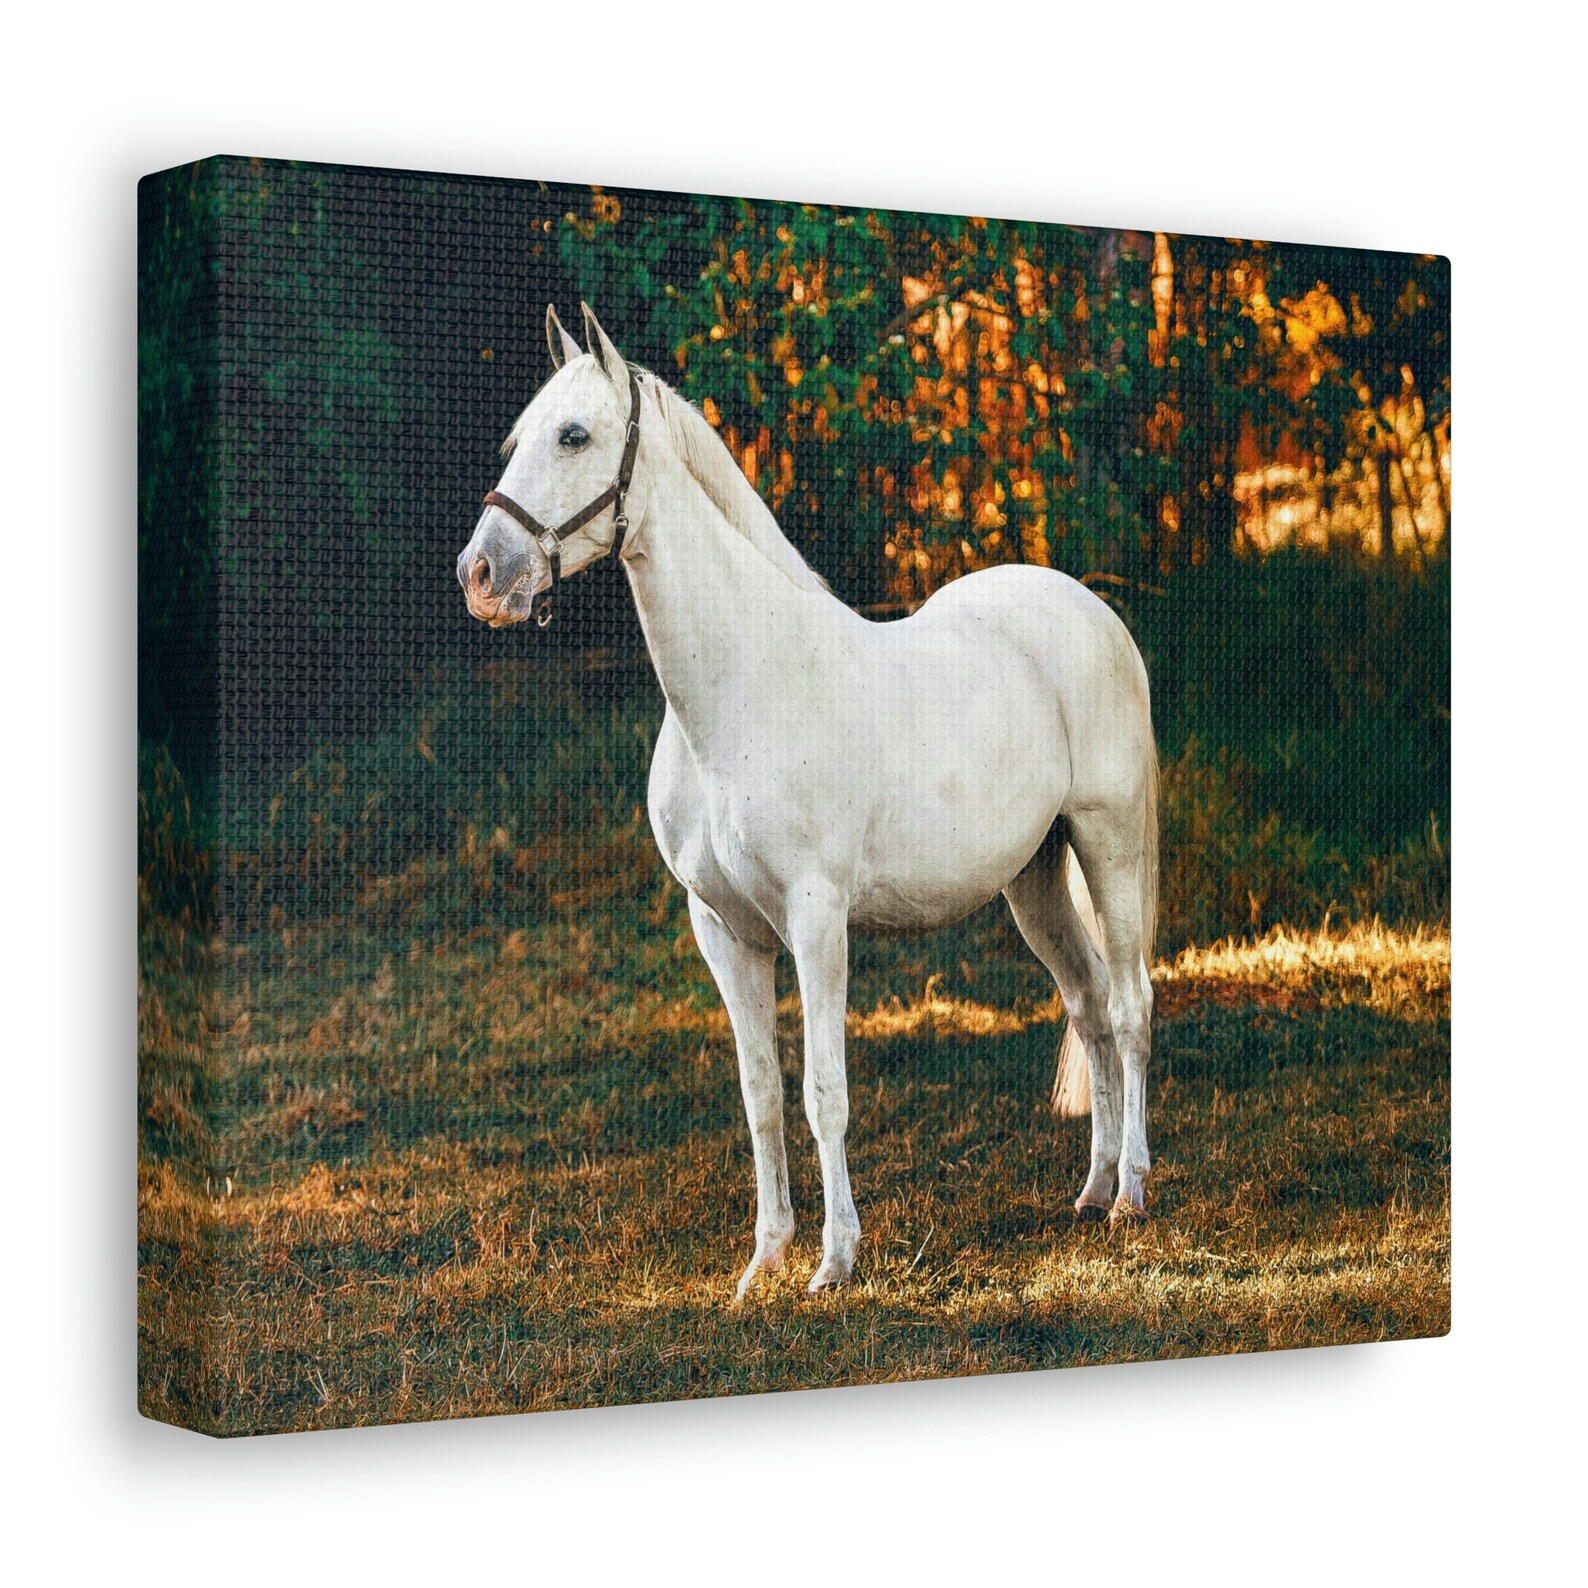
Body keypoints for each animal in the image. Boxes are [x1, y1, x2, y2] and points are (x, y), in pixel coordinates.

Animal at [457, 303, 1159, 1297]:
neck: (745, 688)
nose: (481, 577)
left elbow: (826, 1093)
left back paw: (1132, 1191)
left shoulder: (817, 921)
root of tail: (1091, 612)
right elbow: (760, 1097)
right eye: (519, 439)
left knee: (1131, 1004)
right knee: (1090, 1005)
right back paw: (1091, 1191)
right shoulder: (723, 930)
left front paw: (834, 1261)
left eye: (575, 435)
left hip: (1109, 846)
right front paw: (763, 1263)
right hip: (1034, 879)